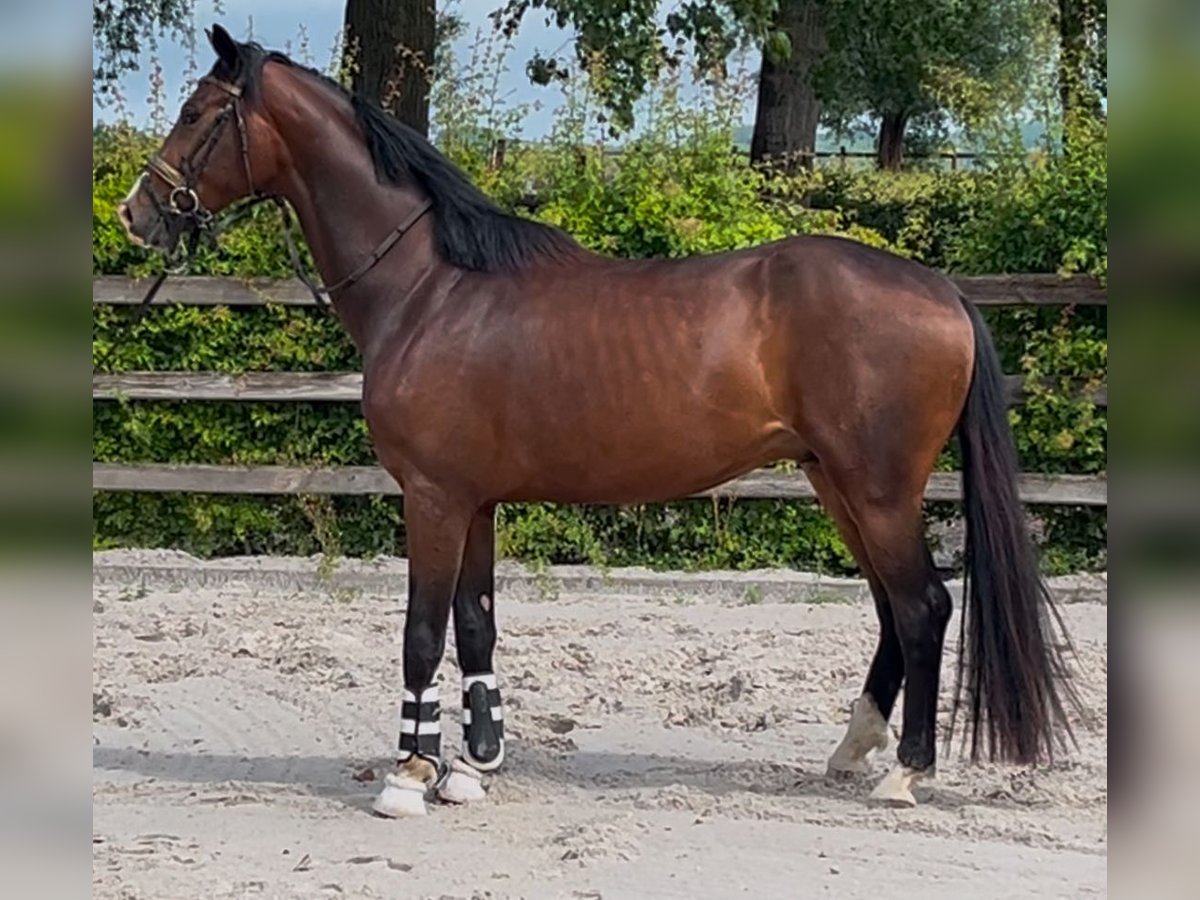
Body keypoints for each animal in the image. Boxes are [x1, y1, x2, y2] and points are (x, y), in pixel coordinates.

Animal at [118, 25, 1081, 816]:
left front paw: (411, 774)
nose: (136, 213)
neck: (430, 287)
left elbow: (422, 630)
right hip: (837, 481)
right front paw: (474, 762)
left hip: (876, 487)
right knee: (890, 607)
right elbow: (476, 621)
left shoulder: (432, 496)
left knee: (922, 606)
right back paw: (854, 748)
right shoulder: (474, 500)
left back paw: (905, 773)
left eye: (197, 113)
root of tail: (941, 289)